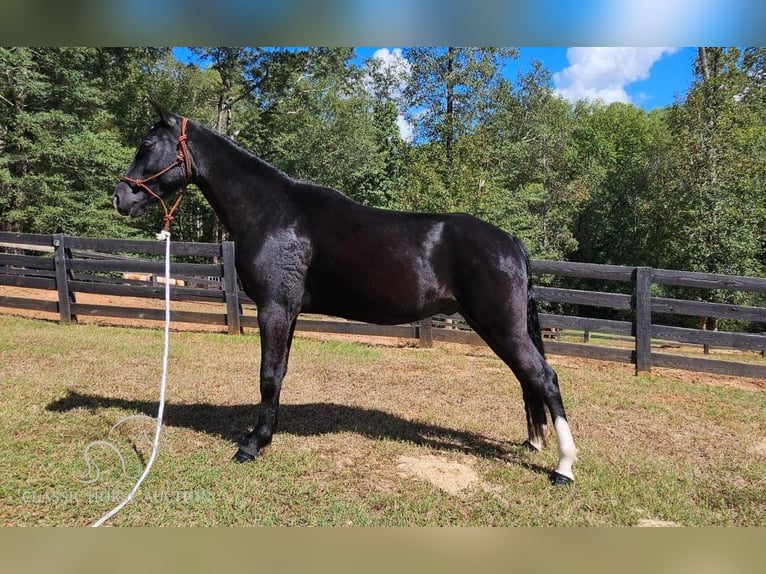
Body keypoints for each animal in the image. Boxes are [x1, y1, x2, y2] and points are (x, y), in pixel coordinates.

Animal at [111, 102, 580, 486]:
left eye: (147, 143)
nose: (120, 197)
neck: (273, 211)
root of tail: (510, 242)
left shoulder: (274, 308)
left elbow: (267, 375)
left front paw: (251, 444)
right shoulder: (289, 310)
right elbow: (279, 374)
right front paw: (264, 436)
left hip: (502, 326)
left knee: (545, 378)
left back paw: (564, 467)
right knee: (527, 379)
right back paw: (534, 442)